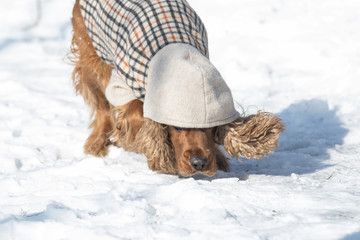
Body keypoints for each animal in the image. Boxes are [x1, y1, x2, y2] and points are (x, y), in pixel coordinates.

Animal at [69, 0, 284, 176]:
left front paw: (219, 157)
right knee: (102, 106)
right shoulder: (122, 86)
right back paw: (97, 145)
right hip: (93, 56)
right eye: (177, 127)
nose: (199, 163)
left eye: (211, 127)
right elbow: (138, 115)